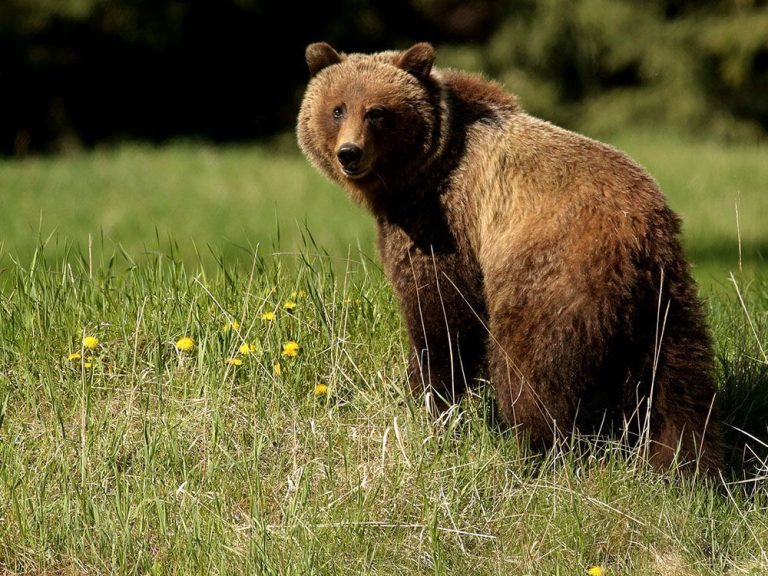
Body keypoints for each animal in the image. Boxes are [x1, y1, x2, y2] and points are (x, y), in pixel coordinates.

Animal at [296, 41, 720, 472]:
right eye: (338, 108)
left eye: (377, 112)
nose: (350, 153)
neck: (424, 170)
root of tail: (638, 234)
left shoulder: (445, 220)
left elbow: (439, 313)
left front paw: (428, 398)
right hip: (665, 297)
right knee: (676, 385)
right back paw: (685, 464)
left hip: (551, 275)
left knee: (530, 368)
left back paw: (535, 452)